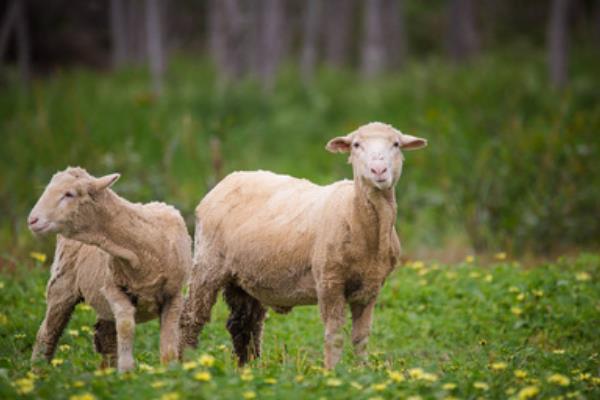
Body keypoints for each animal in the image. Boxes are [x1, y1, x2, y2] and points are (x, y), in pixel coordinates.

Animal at [27, 166, 192, 372]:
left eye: (69, 194)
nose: (32, 220)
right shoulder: (112, 288)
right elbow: (126, 325)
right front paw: (127, 371)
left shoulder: (174, 295)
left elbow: (169, 346)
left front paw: (170, 372)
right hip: (61, 285)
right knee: (47, 333)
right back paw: (37, 372)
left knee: (105, 339)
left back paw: (105, 372)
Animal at [180, 122, 428, 368]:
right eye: (356, 145)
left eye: (396, 144)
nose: (379, 170)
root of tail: (229, 179)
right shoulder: (329, 282)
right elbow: (334, 337)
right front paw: (332, 373)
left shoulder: (371, 287)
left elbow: (361, 338)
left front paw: (362, 371)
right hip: (207, 264)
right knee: (192, 318)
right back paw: (186, 363)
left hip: (243, 277)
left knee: (244, 324)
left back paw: (248, 368)